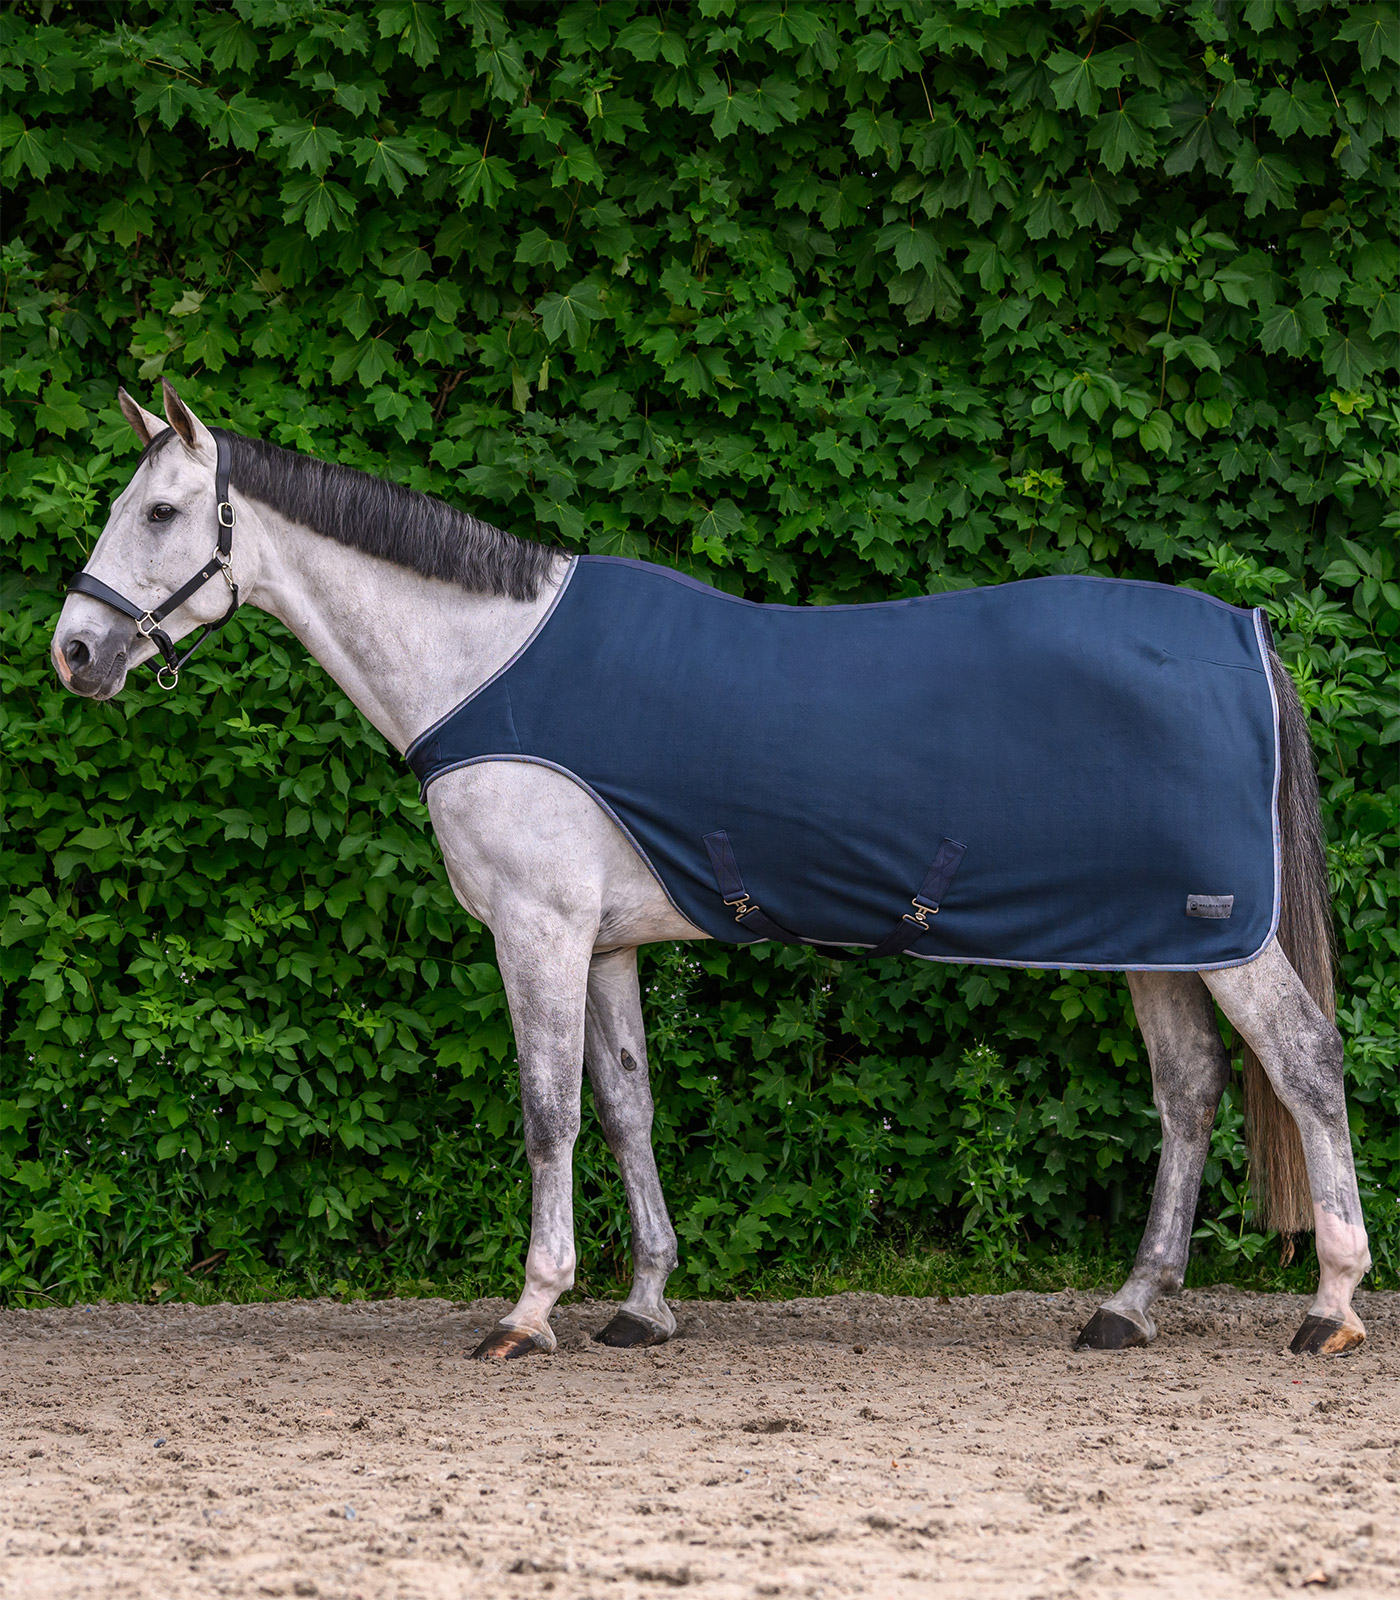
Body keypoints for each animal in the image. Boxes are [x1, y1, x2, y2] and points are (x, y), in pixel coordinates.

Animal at [49, 381, 1372, 1359]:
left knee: (1303, 1064)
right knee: (1188, 1092)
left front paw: (529, 1311)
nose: (74, 653)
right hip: (1153, 940)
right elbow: (624, 1106)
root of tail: (1244, 631)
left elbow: (545, 1111)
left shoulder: (535, 928)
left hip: (1225, 936)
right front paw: (641, 1305)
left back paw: (1329, 1305)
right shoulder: (603, 940)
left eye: (160, 511)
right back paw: (1127, 1307)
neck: (484, 662)